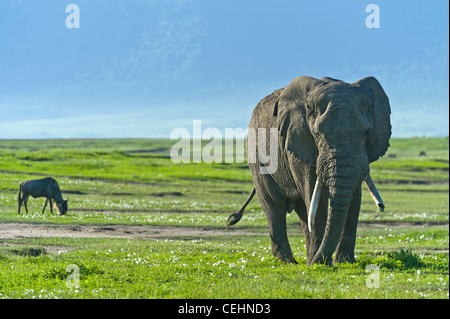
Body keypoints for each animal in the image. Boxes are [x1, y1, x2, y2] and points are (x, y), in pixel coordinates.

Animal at [229, 76, 390, 266]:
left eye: (366, 133)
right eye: (317, 134)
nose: (381, 206)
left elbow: (354, 198)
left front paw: (344, 263)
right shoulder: (299, 142)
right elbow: (316, 201)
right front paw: (320, 264)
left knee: (302, 212)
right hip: (256, 157)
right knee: (274, 206)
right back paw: (290, 262)